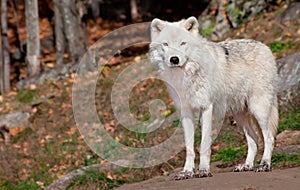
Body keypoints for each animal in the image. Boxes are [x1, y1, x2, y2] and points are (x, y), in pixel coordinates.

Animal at [150, 16, 278, 180]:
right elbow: (189, 148)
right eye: (165, 44)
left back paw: (264, 164)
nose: (174, 59)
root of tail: (264, 46)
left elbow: (204, 144)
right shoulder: (186, 112)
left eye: (182, 43)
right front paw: (187, 172)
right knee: (254, 140)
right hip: (240, 115)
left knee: (269, 138)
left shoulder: (206, 108)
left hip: (258, 109)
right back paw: (247, 166)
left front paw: (204, 170)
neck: (186, 76)